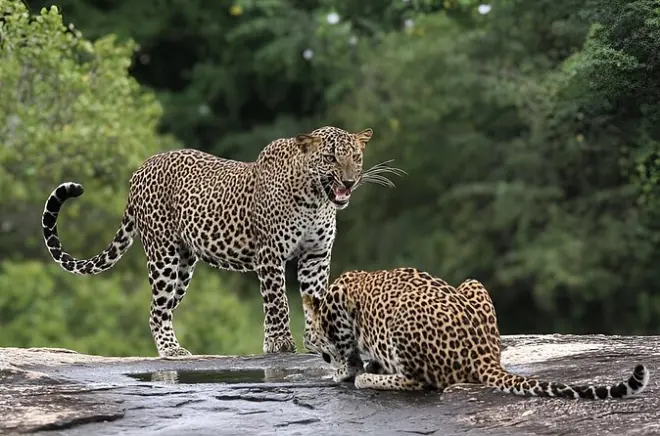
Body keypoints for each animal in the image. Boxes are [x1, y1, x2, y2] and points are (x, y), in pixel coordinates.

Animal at [41, 126, 387, 358]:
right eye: (330, 157)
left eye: (356, 157)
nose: (349, 181)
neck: (317, 199)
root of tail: (140, 169)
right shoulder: (270, 255)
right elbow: (278, 302)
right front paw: (280, 344)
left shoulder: (316, 256)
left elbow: (313, 297)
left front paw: (316, 342)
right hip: (163, 256)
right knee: (157, 309)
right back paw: (171, 351)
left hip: (183, 266)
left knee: (163, 307)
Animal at [302, 267, 650, 400]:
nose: (308, 344)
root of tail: (484, 354)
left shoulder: (338, 306)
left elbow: (344, 350)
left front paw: (346, 371)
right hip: (473, 282)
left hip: (399, 322)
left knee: (421, 382)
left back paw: (369, 378)